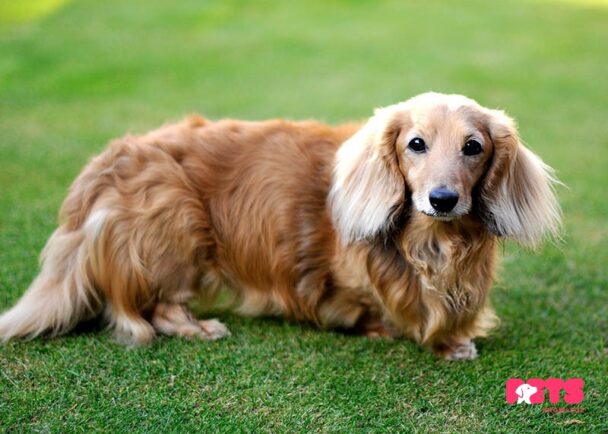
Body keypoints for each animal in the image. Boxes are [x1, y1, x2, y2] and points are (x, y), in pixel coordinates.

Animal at [0, 92, 560, 360]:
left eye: (474, 146)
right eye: (415, 144)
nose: (442, 200)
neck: (433, 245)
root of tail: (106, 163)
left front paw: (454, 338)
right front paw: (408, 332)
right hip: (177, 222)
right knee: (149, 310)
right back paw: (198, 327)